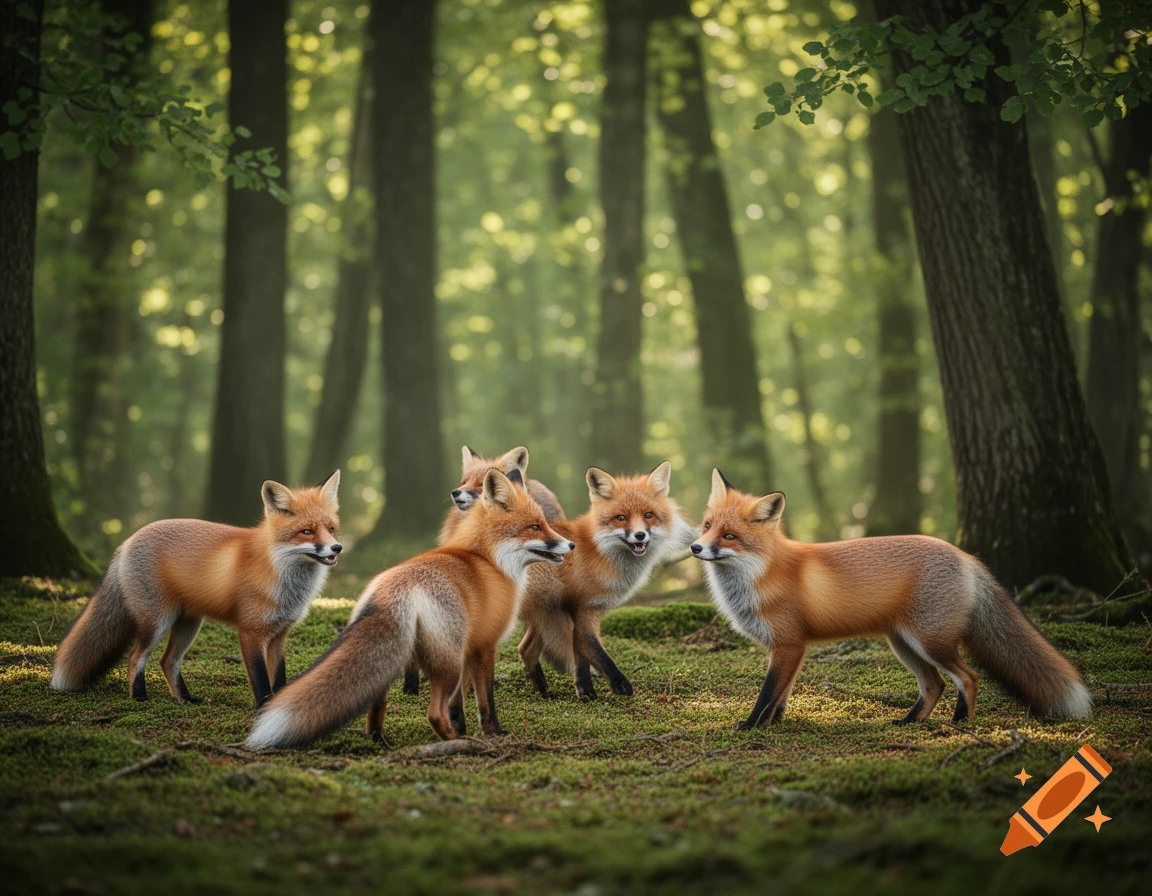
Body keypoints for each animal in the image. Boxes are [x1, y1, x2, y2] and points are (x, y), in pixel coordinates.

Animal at [50, 471, 343, 707]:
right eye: (307, 532)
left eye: (331, 529)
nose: (337, 548)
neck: (281, 575)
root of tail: (127, 541)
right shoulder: (250, 632)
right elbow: (261, 681)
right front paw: (263, 710)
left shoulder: (279, 634)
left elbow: (279, 679)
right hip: (156, 622)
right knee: (135, 657)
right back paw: (139, 697)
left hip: (189, 625)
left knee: (167, 661)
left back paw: (184, 699)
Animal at [244, 468, 573, 749]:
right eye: (535, 527)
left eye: (544, 523)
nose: (570, 545)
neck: (488, 560)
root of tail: (394, 588)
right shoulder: (484, 646)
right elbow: (485, 701)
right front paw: (493, 732)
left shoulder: (469, 648)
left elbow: (459, 706)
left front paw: (465, 727)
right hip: (448, 664)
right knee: (434, 713)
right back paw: (455, 742)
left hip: (403, 660)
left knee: (377, 705)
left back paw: (381, 741)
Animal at [517, 461, 696, 701]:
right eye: (621, 517)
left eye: (649, 515)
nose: (640, 535)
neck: (599, 551)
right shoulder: (583, 608)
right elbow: (596, 652)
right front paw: (615, 684)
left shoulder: (575, 611)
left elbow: (580, 656)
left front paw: (584, 691)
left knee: (525, 648)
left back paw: (542, 689)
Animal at [691, 469, 1092, 729]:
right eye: (708, 526)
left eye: (729, 536)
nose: (696, 547)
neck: (761, 574)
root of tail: (965, 555)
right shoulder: (791, 649)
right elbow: (782, 696)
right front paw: (773, 725)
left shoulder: (789, 644)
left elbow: (767, 694)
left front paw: (751, 726)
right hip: (904, 644)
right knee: (935, 685)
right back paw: (909, 722)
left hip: (931, 641)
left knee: (968, 677)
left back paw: (959, 723)